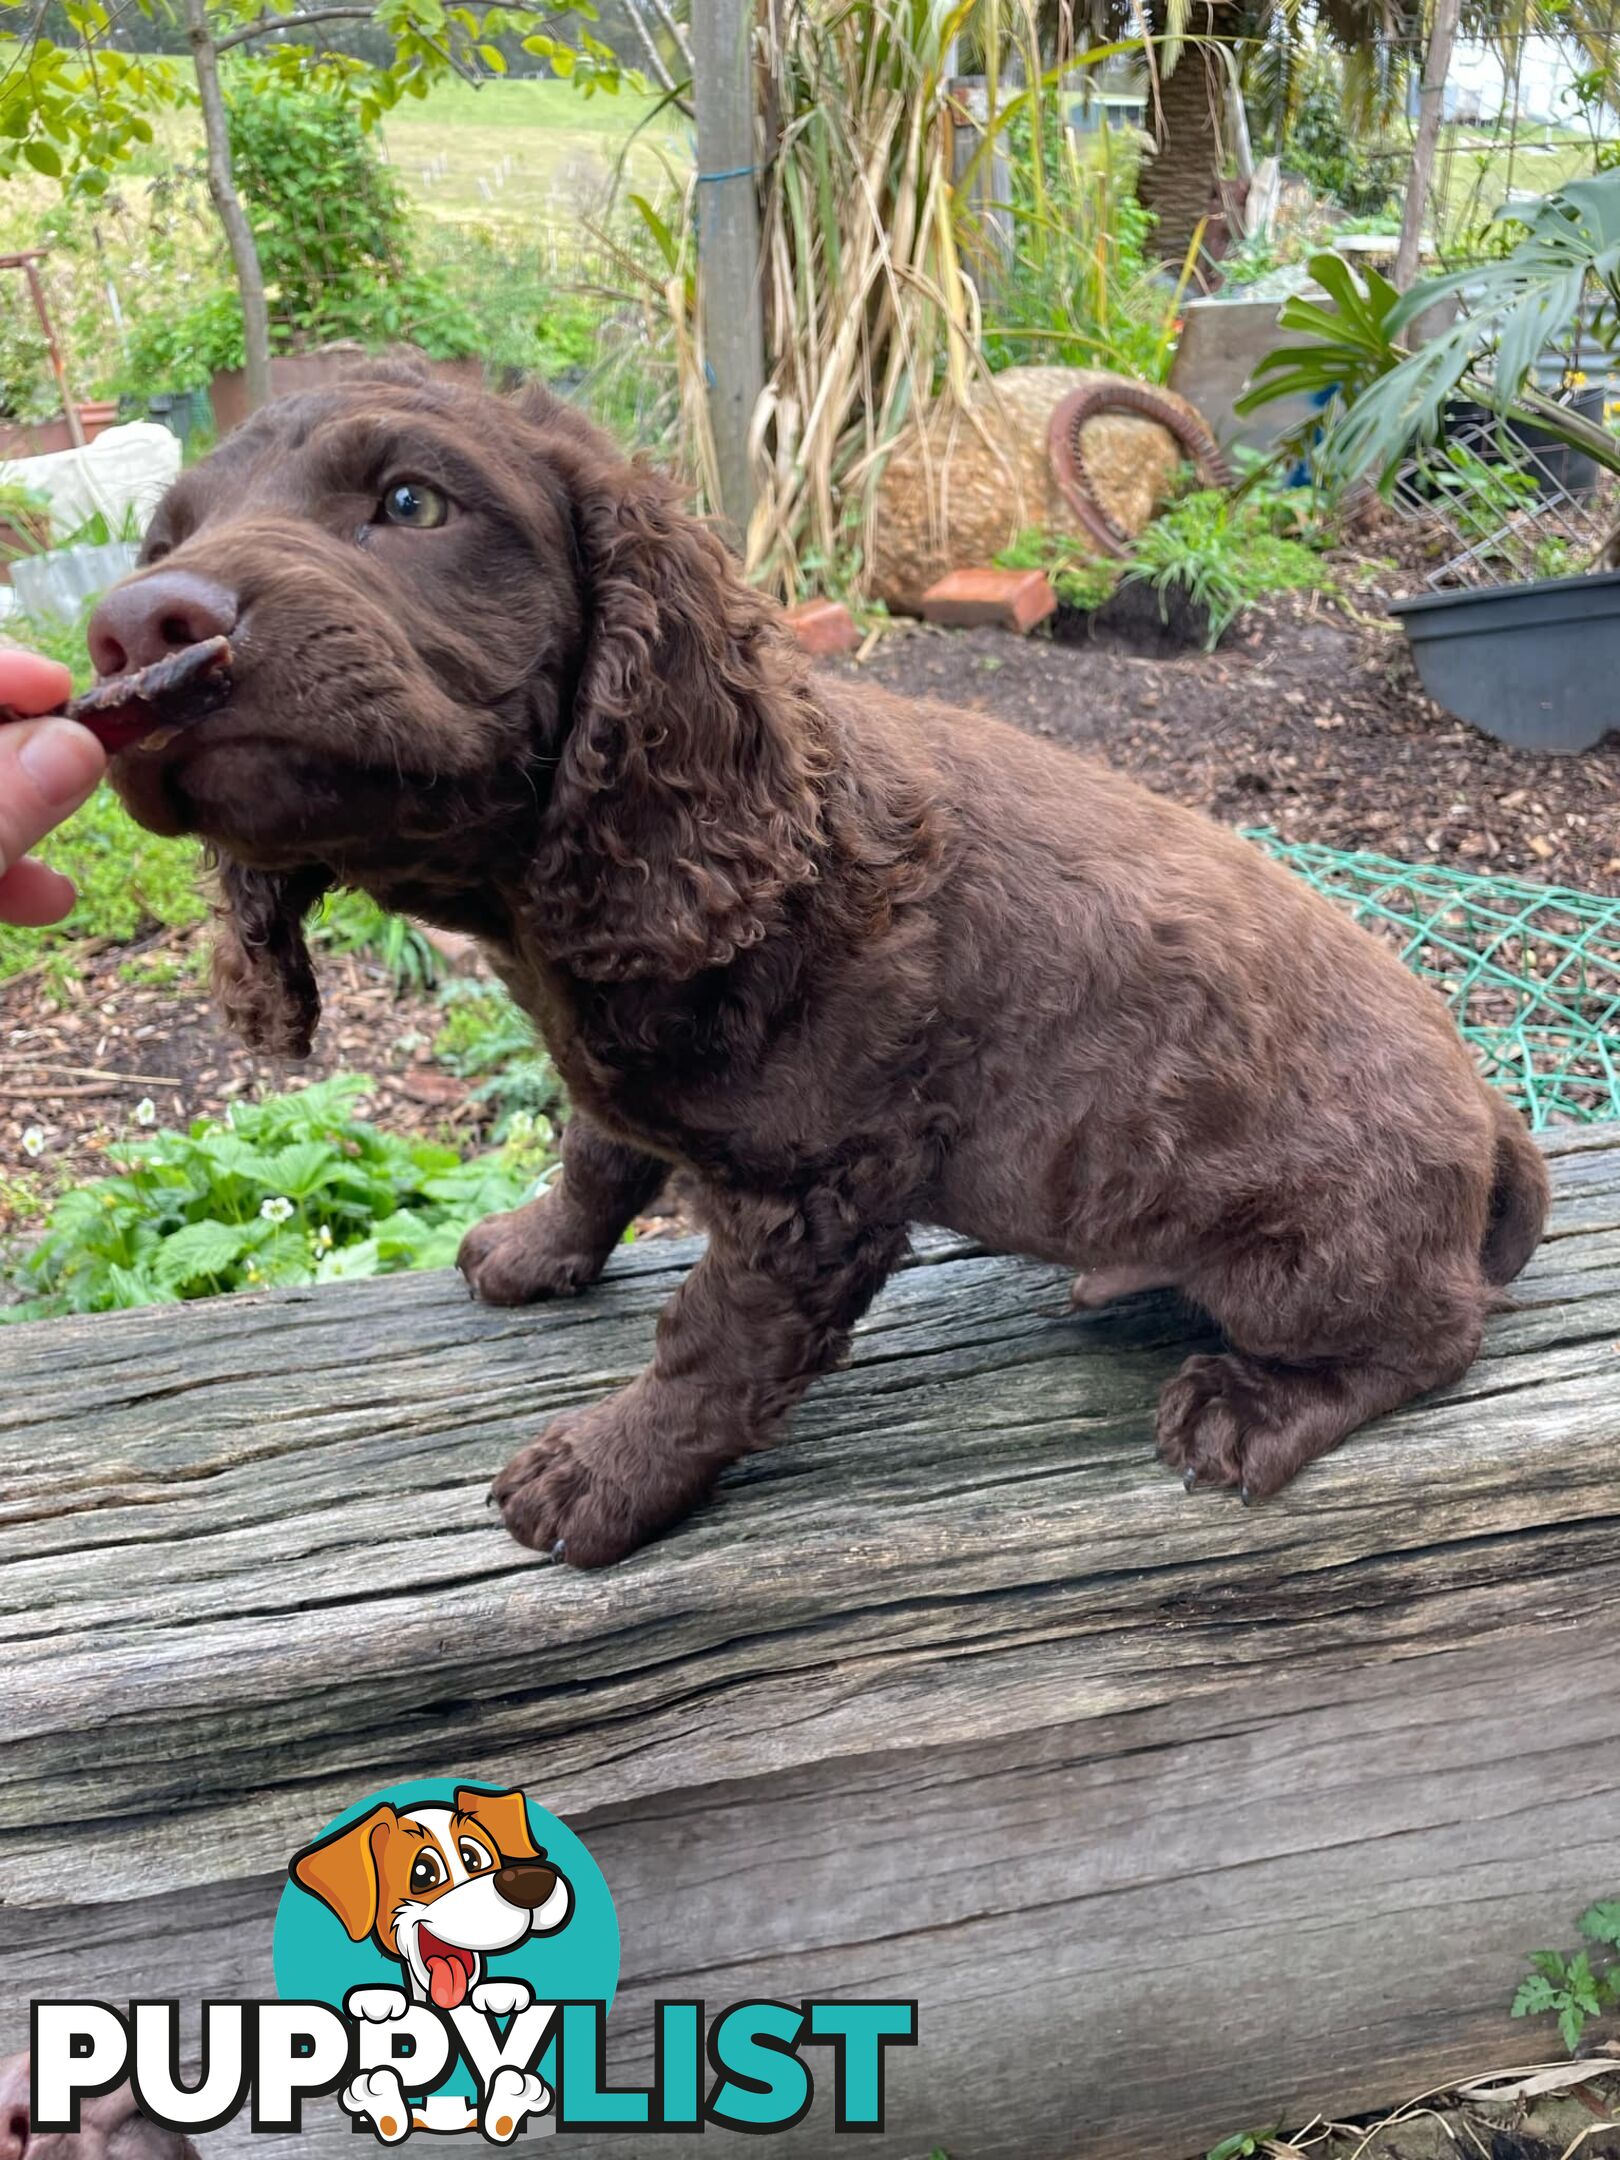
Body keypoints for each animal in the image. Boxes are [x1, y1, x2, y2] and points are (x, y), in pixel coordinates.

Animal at [85, 362, 1546, 1563]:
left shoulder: (814, 1198)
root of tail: (1490, 1109)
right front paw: (537, 1249)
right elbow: (597, 1152)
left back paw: (1254, 1406)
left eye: (410, 501)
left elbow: (708, 1353)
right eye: (166, 542)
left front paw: (599, 1479)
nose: (141, 627)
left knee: (1440, 1327)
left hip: (1300, 1267)